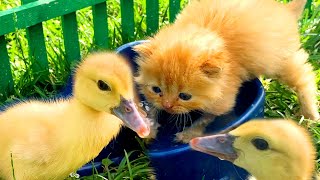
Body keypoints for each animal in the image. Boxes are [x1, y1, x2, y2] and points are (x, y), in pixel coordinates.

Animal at [134, 0, 318, 143]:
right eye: (156, 89)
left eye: (185, 96)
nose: (168, 106)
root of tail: (285, 10)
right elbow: (152, 107)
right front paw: (149, 127)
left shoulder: (224, 98)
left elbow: (206, 118)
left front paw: (188, 134)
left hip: (279, 62)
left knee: (305, 78)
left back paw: (310, 115)